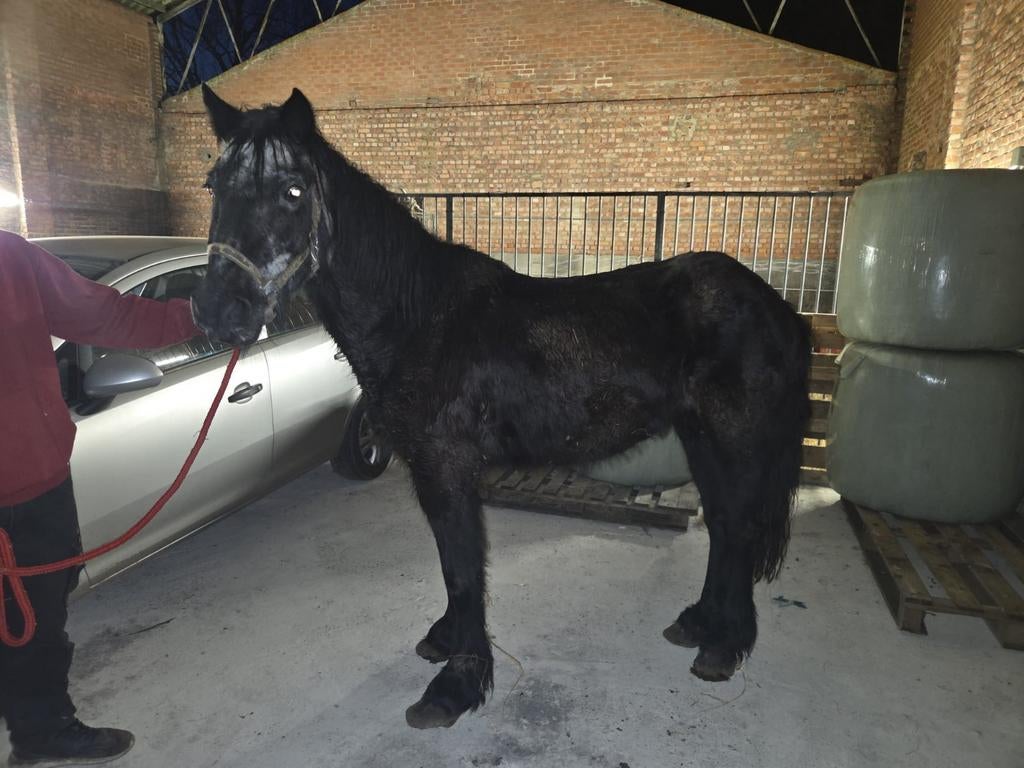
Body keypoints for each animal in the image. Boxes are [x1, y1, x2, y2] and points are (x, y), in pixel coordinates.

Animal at [191, 85, 811, 729]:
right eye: (213, 185)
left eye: (293, 191)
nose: (219, 312)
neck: (418, 319)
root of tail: (779, 308)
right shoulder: (428, 470)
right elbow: (451, 562)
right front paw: (446, 643)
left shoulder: (447, 467)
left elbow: (464, 570)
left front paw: (455, 687)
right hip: (700, 435)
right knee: (724, 525)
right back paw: (700, 626)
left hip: (733, 437)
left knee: (738, 526)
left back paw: (725, 646)